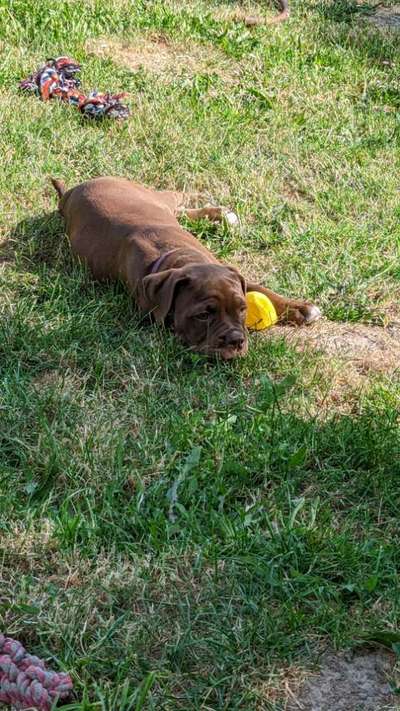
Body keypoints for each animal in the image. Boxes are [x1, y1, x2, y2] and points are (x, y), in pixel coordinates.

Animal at [51, 175, 320, 358]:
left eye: (243, 309)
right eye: (203, 315)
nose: (235, 340)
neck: (180, 258)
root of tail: (71, 191)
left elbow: (265, 290)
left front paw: (302, 308)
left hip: (154, 198)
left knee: (178, 200)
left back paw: (221, 214)